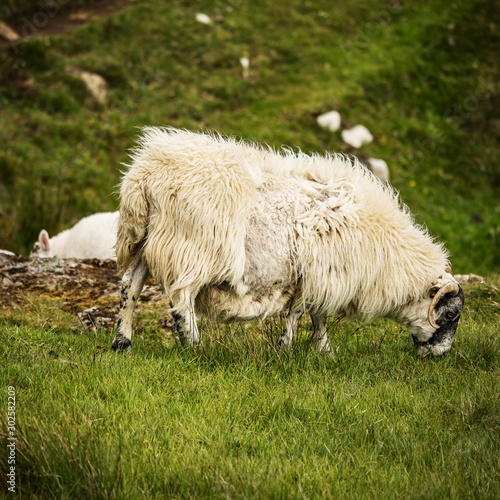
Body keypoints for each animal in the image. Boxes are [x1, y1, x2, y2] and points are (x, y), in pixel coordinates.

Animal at [111, 127, 462, 358]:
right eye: (449, 315)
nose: (441, 355)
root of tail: (146, 173)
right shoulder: (321, 274)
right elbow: (300, 313)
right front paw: (288, 349)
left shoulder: (317, 275)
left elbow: (314, 315)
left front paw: (323, 352)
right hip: (194, 246)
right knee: (182, 299)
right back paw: (194, 347)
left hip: (147, 241)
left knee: (130, 285)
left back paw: (122, 343)